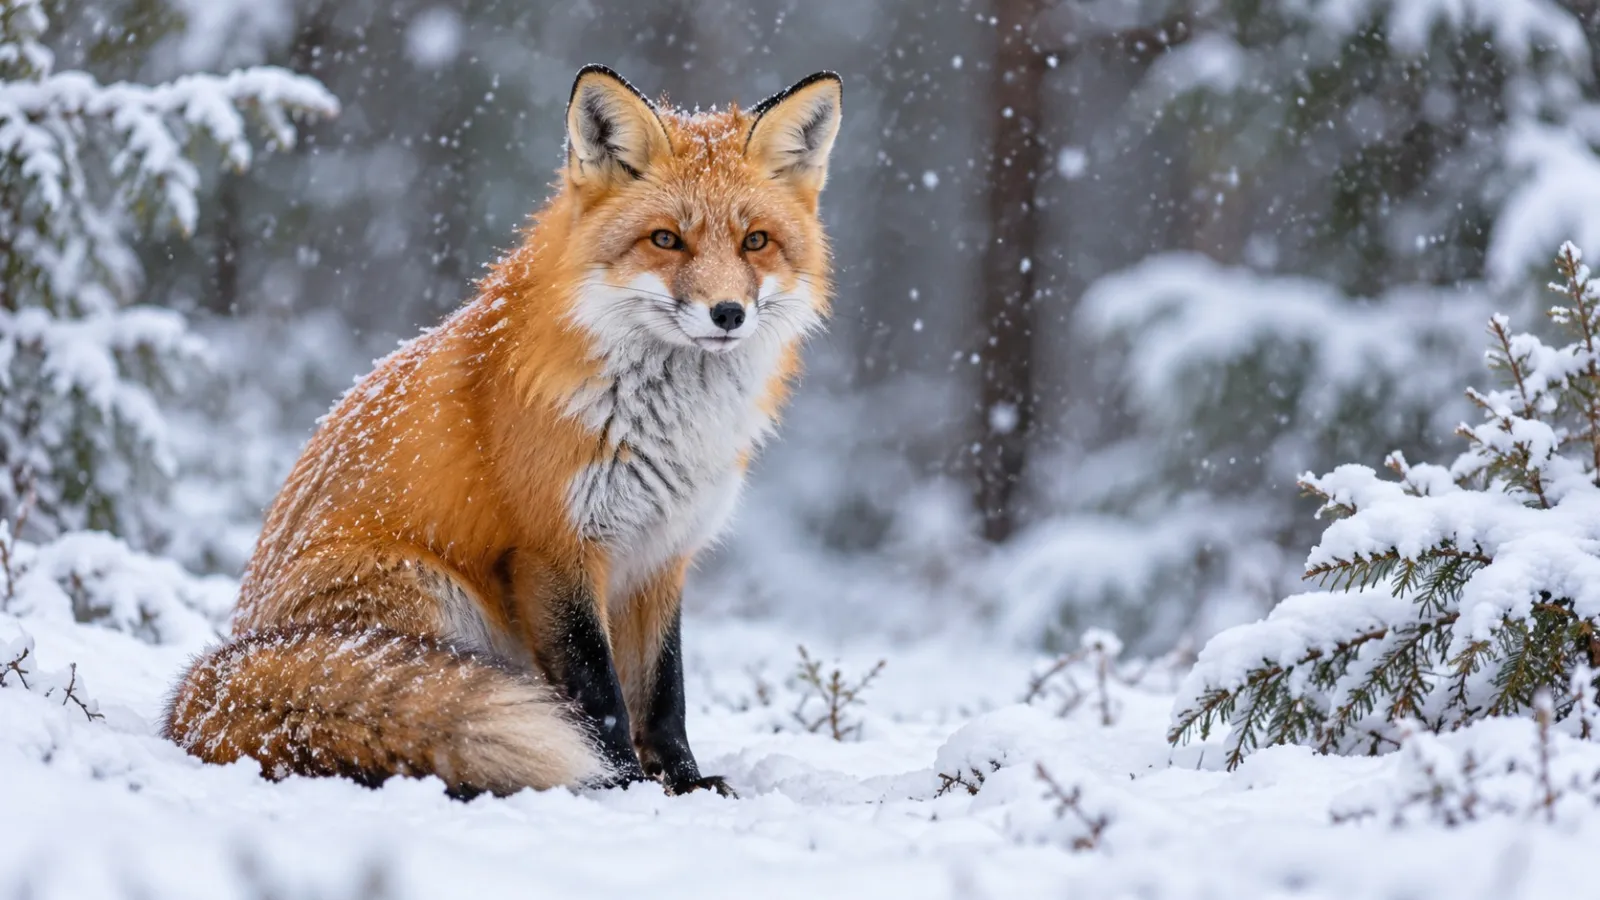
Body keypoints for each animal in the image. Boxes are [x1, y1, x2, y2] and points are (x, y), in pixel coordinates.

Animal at [162, 65, 843, 798]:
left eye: (755, 241)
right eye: (666, 239)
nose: (728, 313)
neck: (664, 426)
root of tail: (223, 663)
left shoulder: (662, 553)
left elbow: (664, 692)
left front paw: (685, 783)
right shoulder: (554, 550)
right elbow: (600, 693)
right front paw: (621, 782)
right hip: (435, 596)